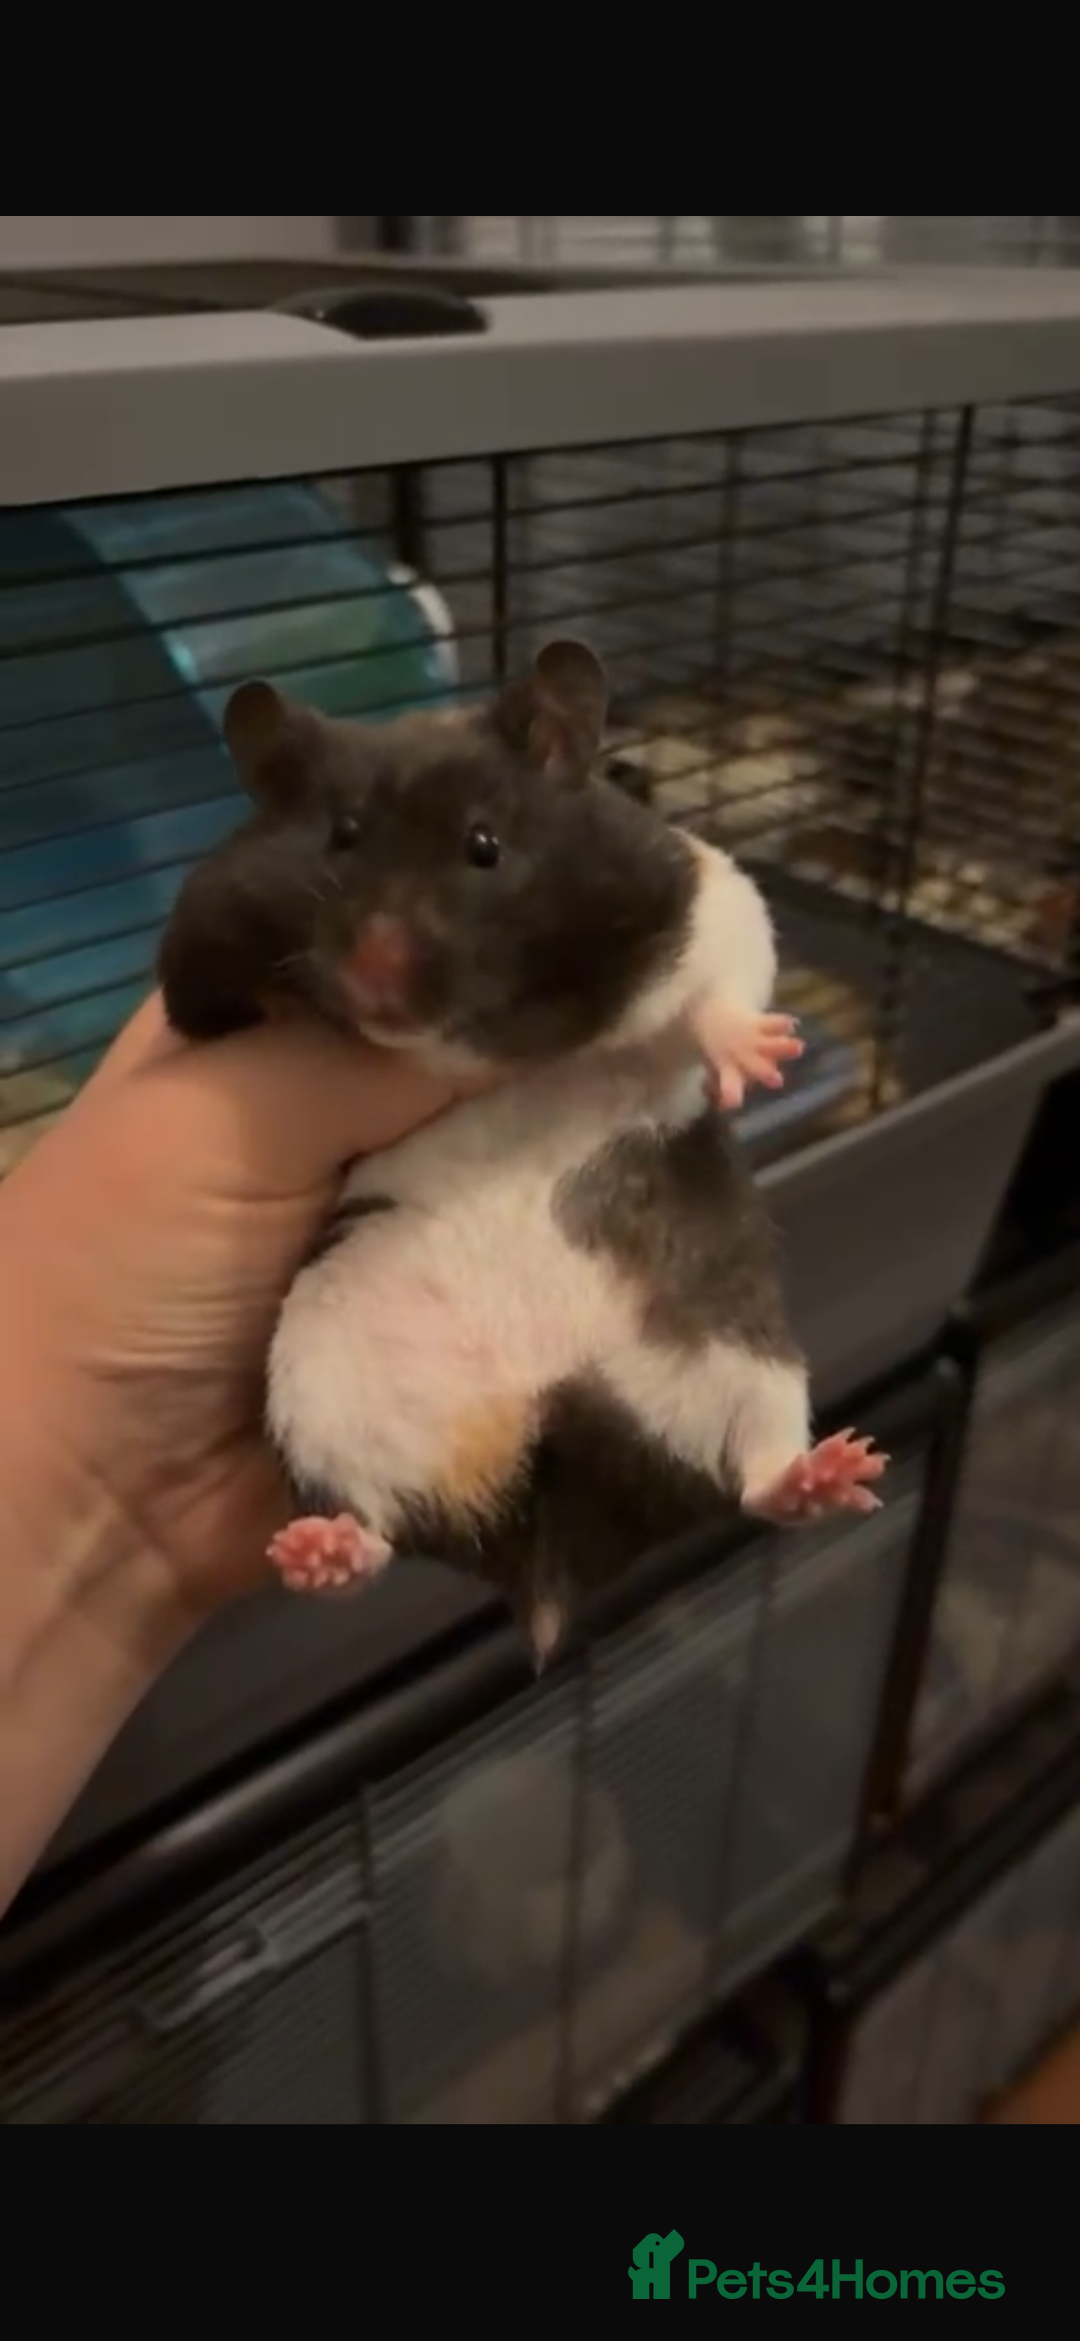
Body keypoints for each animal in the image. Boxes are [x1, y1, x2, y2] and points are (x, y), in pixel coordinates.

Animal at [159, 639, 887, 1665]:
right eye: (342, 836)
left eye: (485, 846)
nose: (373, 978)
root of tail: (542, 1538)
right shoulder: (199, 948)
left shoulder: (701, 892)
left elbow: (718, 987)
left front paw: (760, 1060)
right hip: (317, 1381)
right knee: (377, 1526)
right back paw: (319, 1552)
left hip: (741, 1355)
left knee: (754, 1474)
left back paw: (839, 1471)